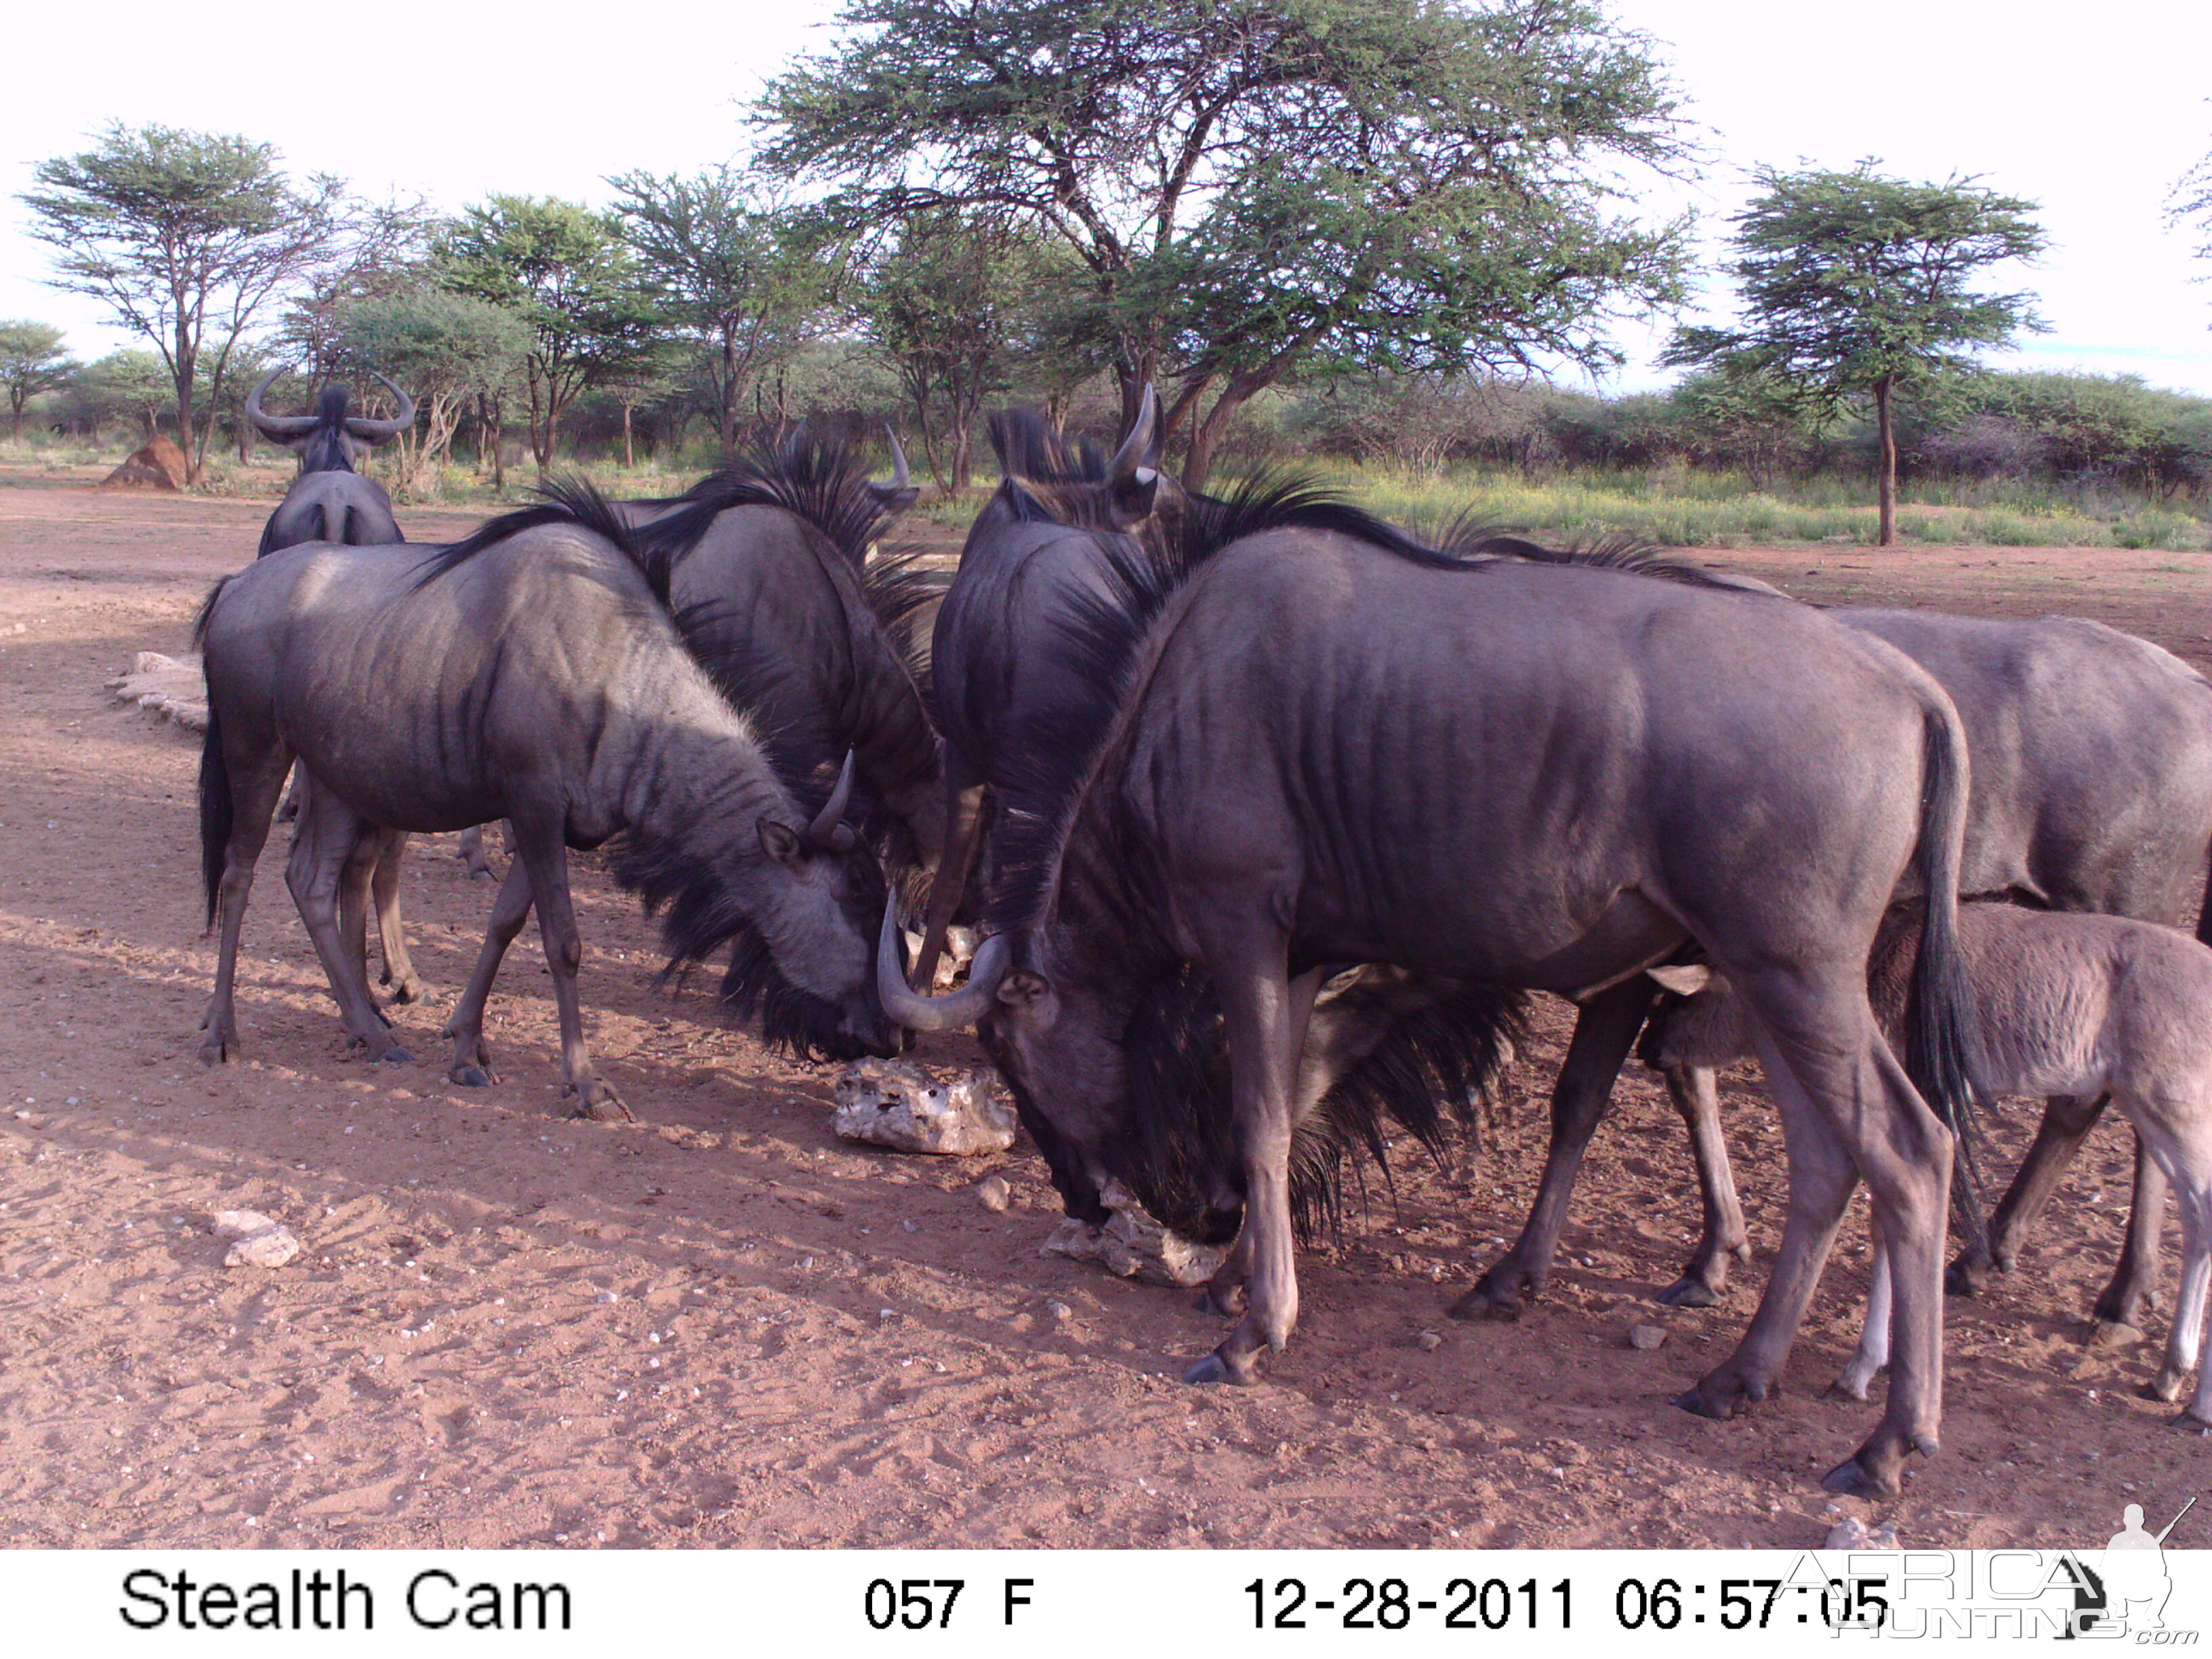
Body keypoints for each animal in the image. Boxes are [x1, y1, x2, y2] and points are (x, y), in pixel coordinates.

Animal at [1654, 911, 2212, 1433]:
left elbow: (1892, 1213)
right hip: (2146, 1105)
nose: (1652, 1049)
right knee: (2194, 1218)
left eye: (1683, 999)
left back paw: (2195, 1402)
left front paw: (1860, 1369)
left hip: (2172, 1101)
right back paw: (2169, 1374)